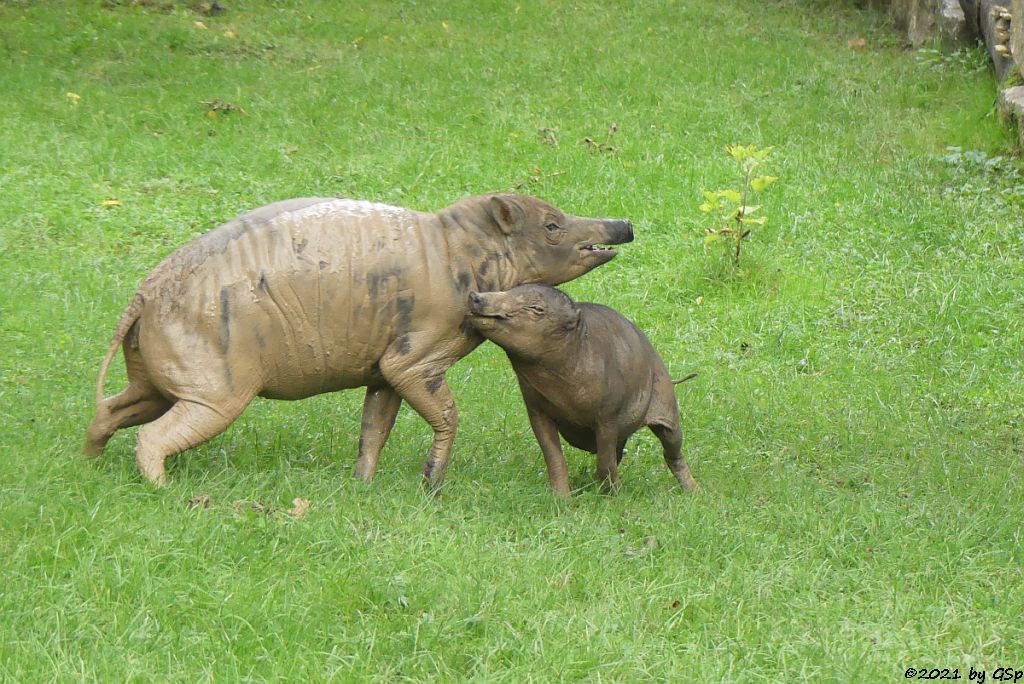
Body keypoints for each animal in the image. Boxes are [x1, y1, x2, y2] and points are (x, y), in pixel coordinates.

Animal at [468, 284, 700, 497]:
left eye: (536, 308)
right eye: (507, 290)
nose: (475, 296)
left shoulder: (608, 416)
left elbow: (605, 462)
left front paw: (612, 497)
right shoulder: (536, 410)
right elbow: (554, 457)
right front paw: (562, 498)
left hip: (665, 403)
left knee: (671, 450)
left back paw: (694, 490)